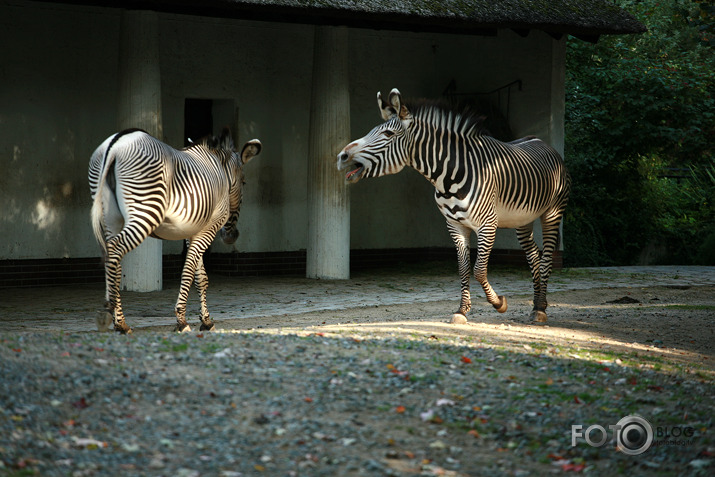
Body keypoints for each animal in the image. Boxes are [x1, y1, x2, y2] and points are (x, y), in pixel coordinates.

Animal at [87, 128, 260, 332]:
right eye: (244, 182)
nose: (231, 237)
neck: (221, 171)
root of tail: (116, 143)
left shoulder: (192, 232)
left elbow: (201, 277)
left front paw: (206, 321)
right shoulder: (209, 227)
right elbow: (189, 270)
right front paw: (182, 320)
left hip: (111, 218)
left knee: (112, 256)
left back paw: (118, 319)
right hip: (145, 209)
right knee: (114, 249)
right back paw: (117, 320)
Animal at [338, 89, 572, 324]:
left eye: (387, 134)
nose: (341, 157)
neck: (449, 177)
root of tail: (542, 142)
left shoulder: (488, 224)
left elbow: (478, 270)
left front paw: (499, 303)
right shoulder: (455, 225)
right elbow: (463, 268)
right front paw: (462, 311)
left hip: (552, 213)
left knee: (546, 258)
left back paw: (540, 309)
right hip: (522, 219)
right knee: (533, 255)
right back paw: (537, 303)